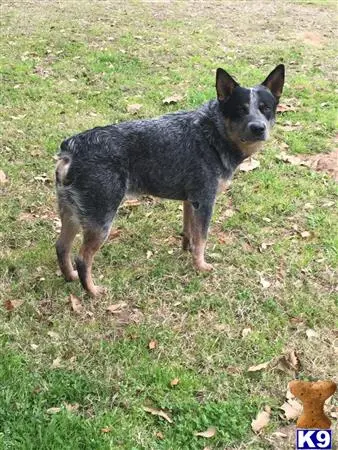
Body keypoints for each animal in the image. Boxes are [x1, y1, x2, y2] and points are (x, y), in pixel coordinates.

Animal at [56, 63, 286, 296]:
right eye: (240, 109)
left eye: (266, 108)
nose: (258, 128)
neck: (213, 133)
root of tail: (71, 150)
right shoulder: (205, 201)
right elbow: (202, 238)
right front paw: (201, 266)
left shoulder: (190, 201)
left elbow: (189, 232)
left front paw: (187, 251)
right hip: (100, 219)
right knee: (82, 259)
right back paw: (92, 291)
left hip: (72, 213)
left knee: (61, 247)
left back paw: (70, 276)